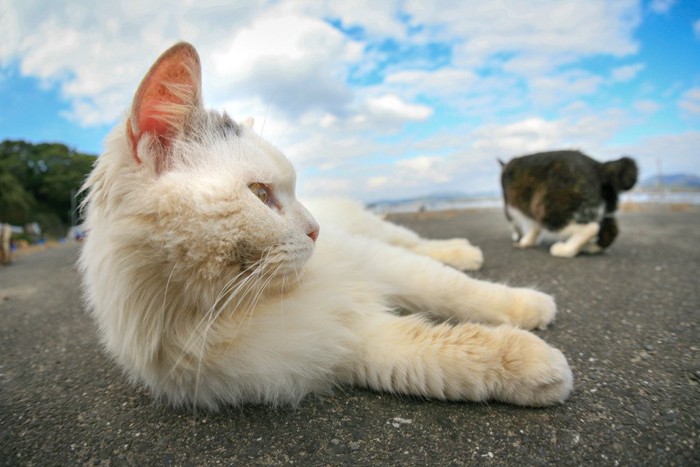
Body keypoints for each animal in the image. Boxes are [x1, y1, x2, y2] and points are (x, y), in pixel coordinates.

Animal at [76, 43, 572, 410]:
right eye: (260, 194)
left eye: (291, 191)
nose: (316, 230)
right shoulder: (348, 345)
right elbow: (447, 353)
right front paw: (537, 366)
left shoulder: (380, 263)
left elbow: (454, 291)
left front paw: (529, 306)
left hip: (378, 235)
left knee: (420, 245)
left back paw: (465, 252)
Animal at [498, 151, 640, 258]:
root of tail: (599, 166)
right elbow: (535, 228)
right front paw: (529, 241)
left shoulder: (513, 208)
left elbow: (528, 226)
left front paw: (524, 241)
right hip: (605, 210)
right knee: (610, 230)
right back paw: (589, 247)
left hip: (549, 208)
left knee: (591, 227)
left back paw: (565, 249)